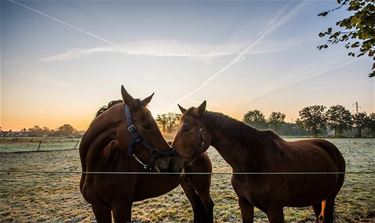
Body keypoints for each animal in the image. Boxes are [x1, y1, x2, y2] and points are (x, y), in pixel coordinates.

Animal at [79, 87, 214, 223]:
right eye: (147, 126)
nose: (169, 162)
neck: (101, 165)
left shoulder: (121, 207)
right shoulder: (98, 207)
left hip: (201, 185)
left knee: (208, 205)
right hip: (186, 184)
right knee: (197, 206)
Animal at [172, 101, 346, 223]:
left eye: (186, 128)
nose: (172, 162)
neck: (253, 163)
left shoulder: (275, 210)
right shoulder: (245, 204)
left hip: (330, 198)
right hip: (316, 197)